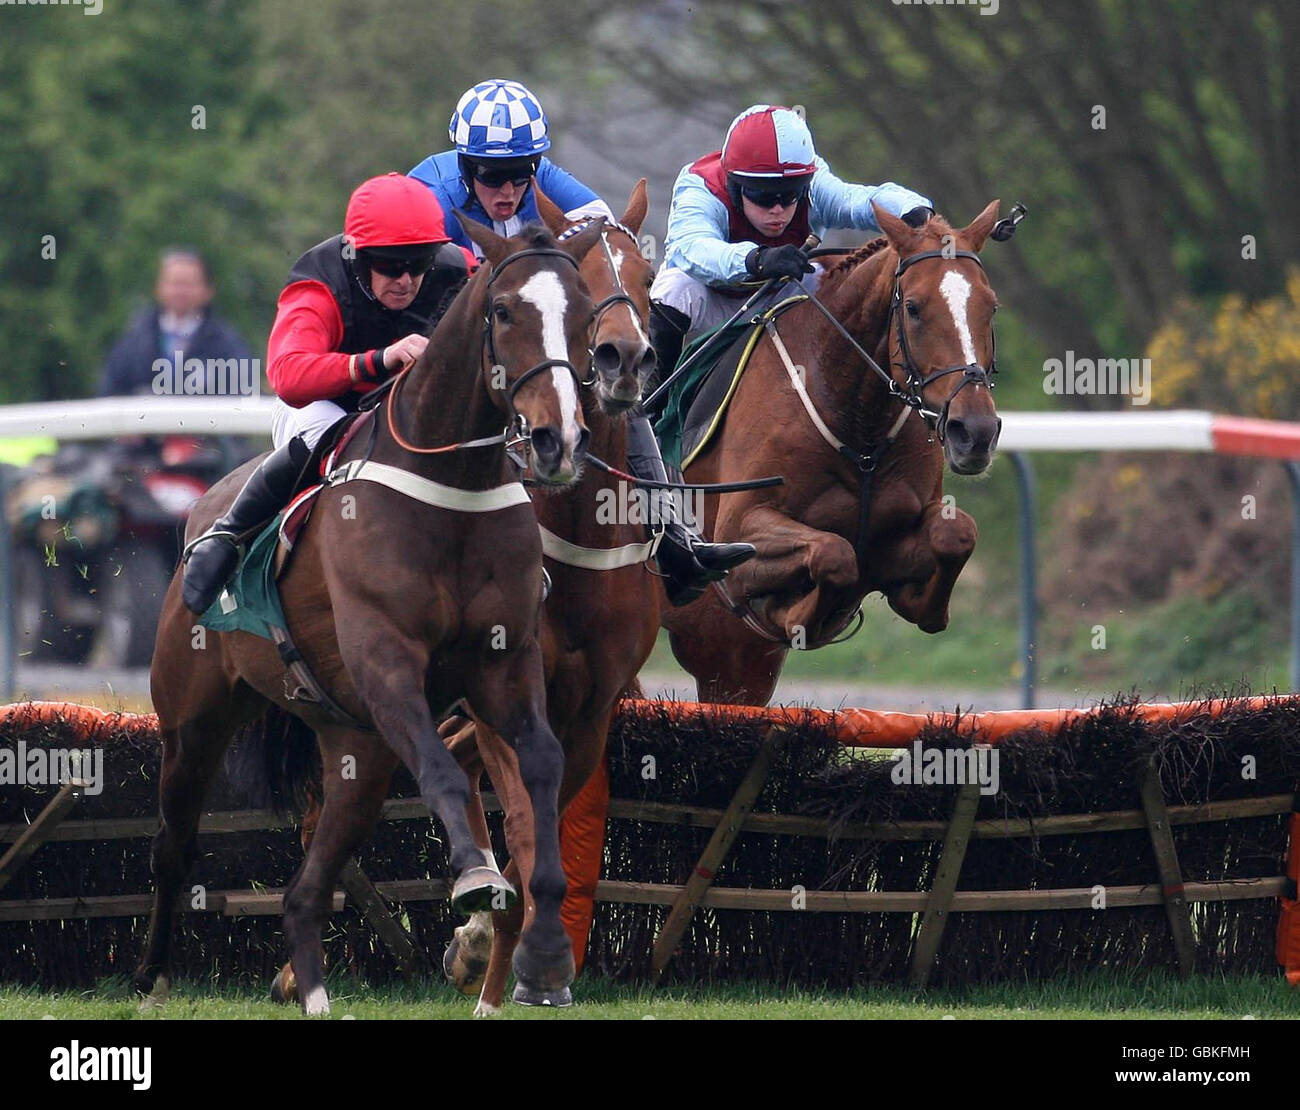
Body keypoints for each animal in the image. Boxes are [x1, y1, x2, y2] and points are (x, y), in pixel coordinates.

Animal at [134, 219, 611, 1019]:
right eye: (504, 311)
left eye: (582, 318)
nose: (557, 440)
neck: (453, 487)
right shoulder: (387, 662)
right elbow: (446, 771)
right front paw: (476, 877)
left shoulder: (506, 665)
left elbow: (541, 766)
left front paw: (543, 953)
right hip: (193, 721)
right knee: (173, 845)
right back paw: (152, 978)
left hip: (355, 749)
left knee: (305, 892)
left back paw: (317, 996)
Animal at [436, 181, 665, 1019]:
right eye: (585, 275)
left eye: (646, 272)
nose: (623, 357)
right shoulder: (504, 699)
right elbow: (527, 831)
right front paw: (513, 968)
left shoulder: (591, 713)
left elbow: (546, 830)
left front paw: (525, 962)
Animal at [660, 200, 1003, 701]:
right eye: (914, 308)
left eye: (990, 307)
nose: (974, 431)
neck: (858, 428)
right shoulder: (739, 532)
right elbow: (833, 554)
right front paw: (795, 615)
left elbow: (956, 533)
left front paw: (921, 605)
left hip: (726, 660)